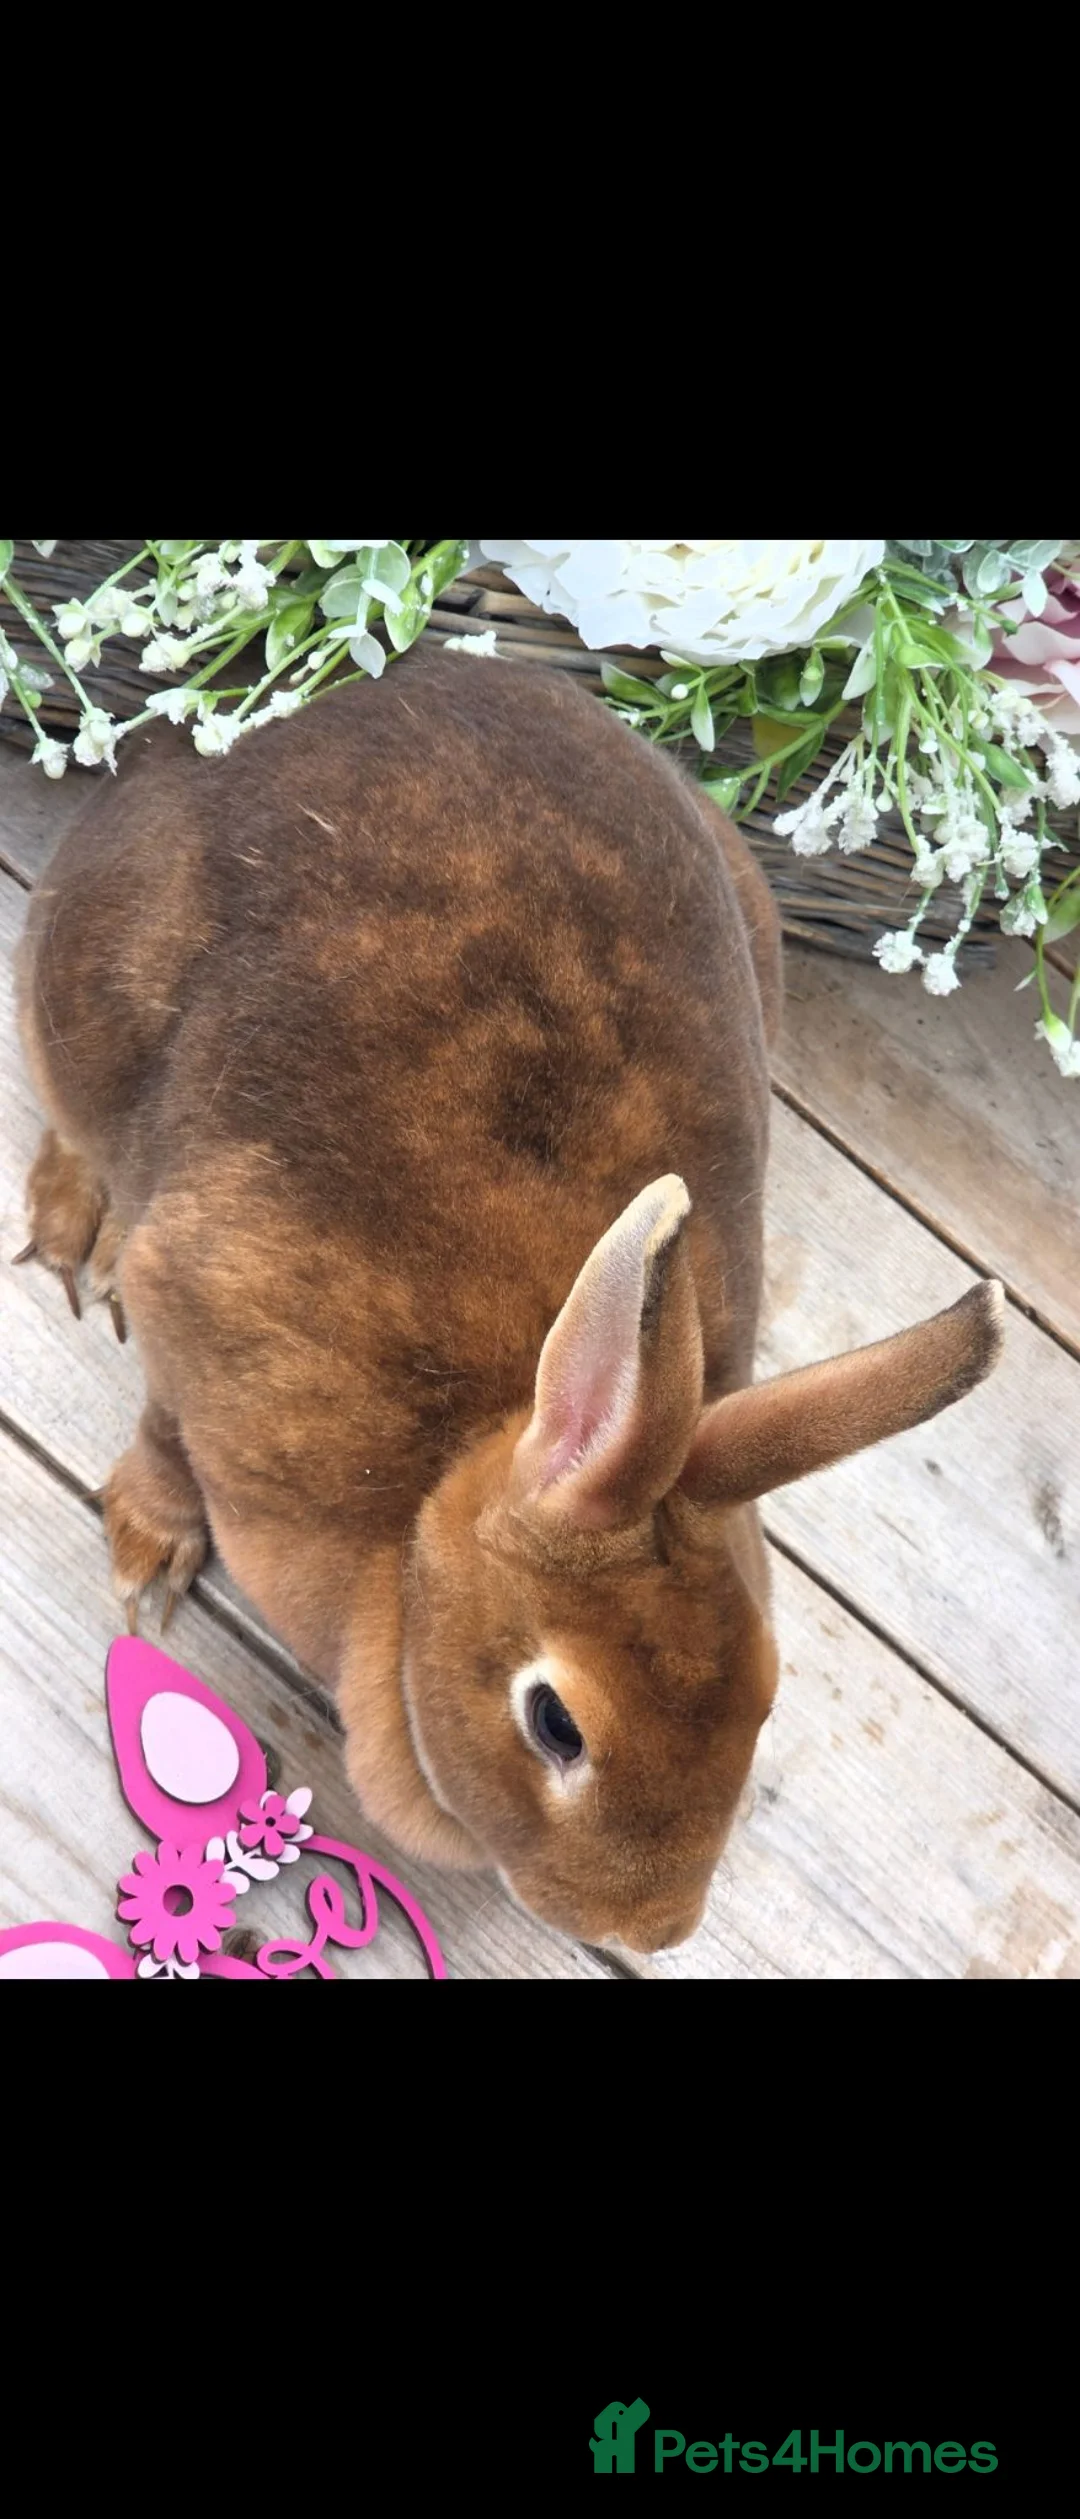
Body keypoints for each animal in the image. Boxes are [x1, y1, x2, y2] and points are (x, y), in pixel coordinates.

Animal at [14, 649, 1004, 1954]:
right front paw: (147, 1550)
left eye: (767, 1698)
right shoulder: (197, 1324)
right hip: (80, 980)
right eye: (557, 1724)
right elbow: (168, 1433)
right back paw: (75, 1222)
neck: (421, 1525)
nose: (653, 1929)